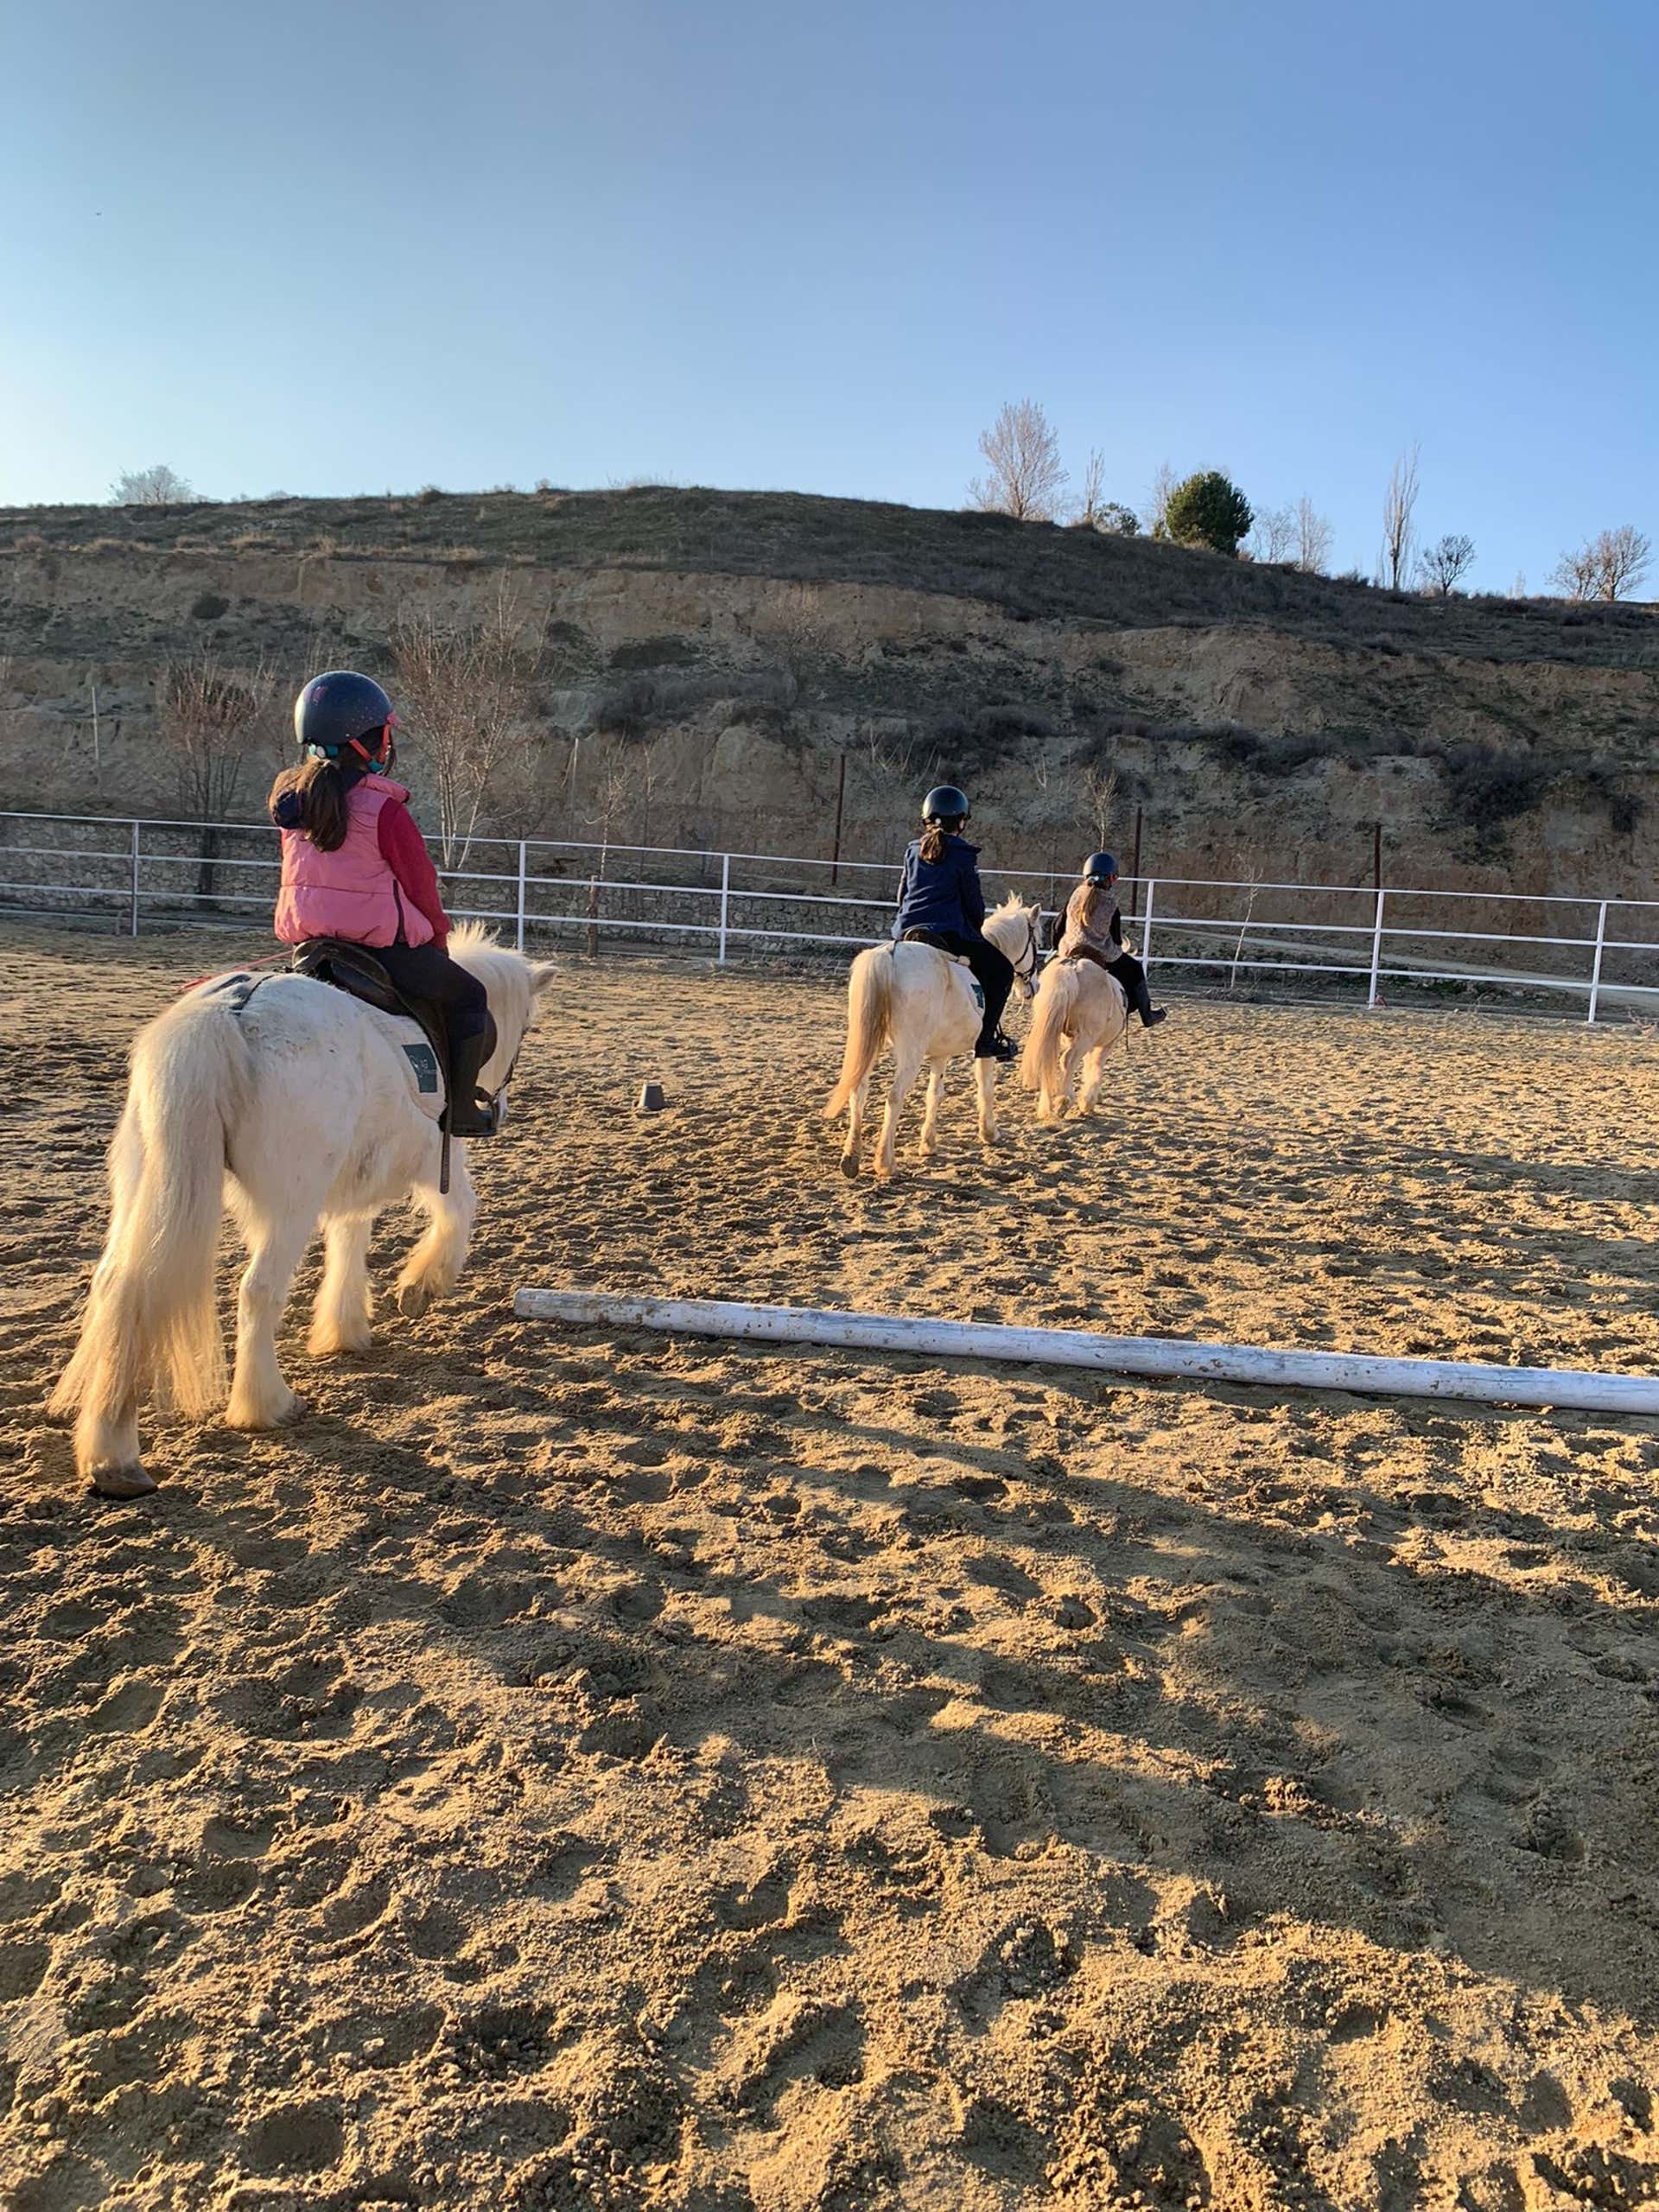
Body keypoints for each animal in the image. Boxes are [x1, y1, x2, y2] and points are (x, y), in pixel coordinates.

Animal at [51, 925, 556, 1499]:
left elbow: (349, 1240)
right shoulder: (436, 1162)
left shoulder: (352, 1182)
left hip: (149, 1188)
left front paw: (343, 1329)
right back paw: (266, 1403)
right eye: (524, 1029)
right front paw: (421, 1286)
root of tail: (229, 1011)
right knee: (258, 1290)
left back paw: (112, 1456)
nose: (498, 1110)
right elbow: (459, 1212)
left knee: (120, 1285)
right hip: (290, 1204)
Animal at [823, 894, 1043, 1178]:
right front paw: (989, 1132)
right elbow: (985, 1086)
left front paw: (928, 1144)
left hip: (870, 1042)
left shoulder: (940, 1053)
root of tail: (890, 954)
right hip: (910, 1052)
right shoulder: (983, 1048)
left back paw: (851, 1158)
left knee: (858, 1089)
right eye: (1037, 943)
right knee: (894, 1096)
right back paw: (886, 1163)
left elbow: (934, 1093)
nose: (1033, 987)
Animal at [1019, 953, 1131, 1123]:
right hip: (1085, 1037)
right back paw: (1063, 1102)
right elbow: (1096, 1066)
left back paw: (1047, 1106)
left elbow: (1088, 1064)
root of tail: (1072, 966)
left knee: (1049, 1059)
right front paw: (1088, 1101)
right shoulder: (1105, 1044)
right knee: (1068, 1060)